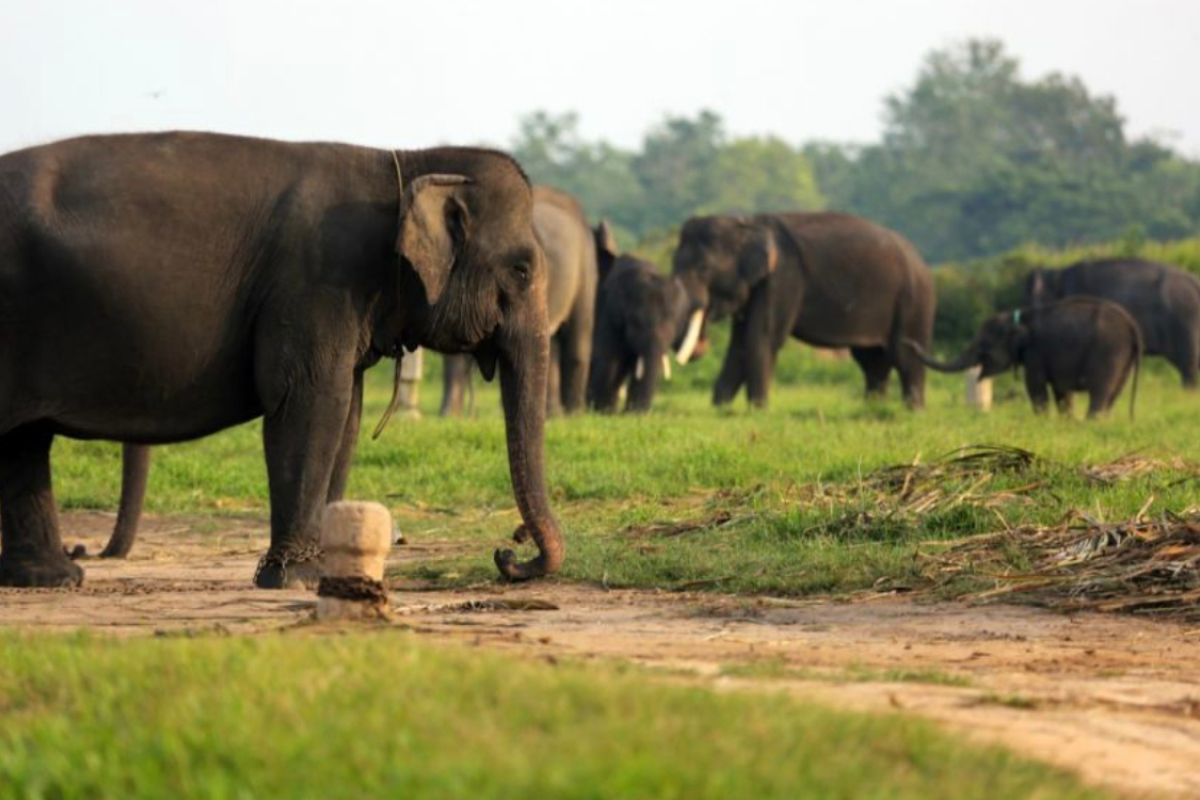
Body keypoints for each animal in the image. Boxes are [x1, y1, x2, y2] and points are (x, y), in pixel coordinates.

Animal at [0, 131, 563, 587]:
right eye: (522, 270)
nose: (508, 550)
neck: (406, 160)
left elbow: (347, 414)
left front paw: (324, 572)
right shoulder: (318, 281)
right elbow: (311, 402)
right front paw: (294, 580)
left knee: (25, 441)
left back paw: (52, 578)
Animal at [587, 224, 691, 412]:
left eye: (674, 329)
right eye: (636, 323)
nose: (639, 413)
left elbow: (634, 365)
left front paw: (630, 414)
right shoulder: (608, 312)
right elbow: (608, 360)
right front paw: (602, 412)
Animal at [670, 213, 936, 409]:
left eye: (704, 269)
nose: (701, 344)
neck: (748, 222)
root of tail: (921, 261)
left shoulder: (782, 279)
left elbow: (761, 339)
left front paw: (757, 410)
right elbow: (739, 344)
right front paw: (720, 409)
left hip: (914, 302)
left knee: (905, 356)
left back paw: (913, 411)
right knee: (872, 361)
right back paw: (873, 407)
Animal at [907, 297, 1141, 418]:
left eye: (983, 346)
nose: (907, 341)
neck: (1018, 317)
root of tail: (1132, 324)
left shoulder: (1036, 353)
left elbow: (1035, 386)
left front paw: (1043, 420)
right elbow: (1062, 390)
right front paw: (1064, 420)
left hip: (1109, 350)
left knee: (1100, 390)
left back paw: (1091, 422)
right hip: (1123, 357)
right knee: (1113, 392)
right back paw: (1099, 422)